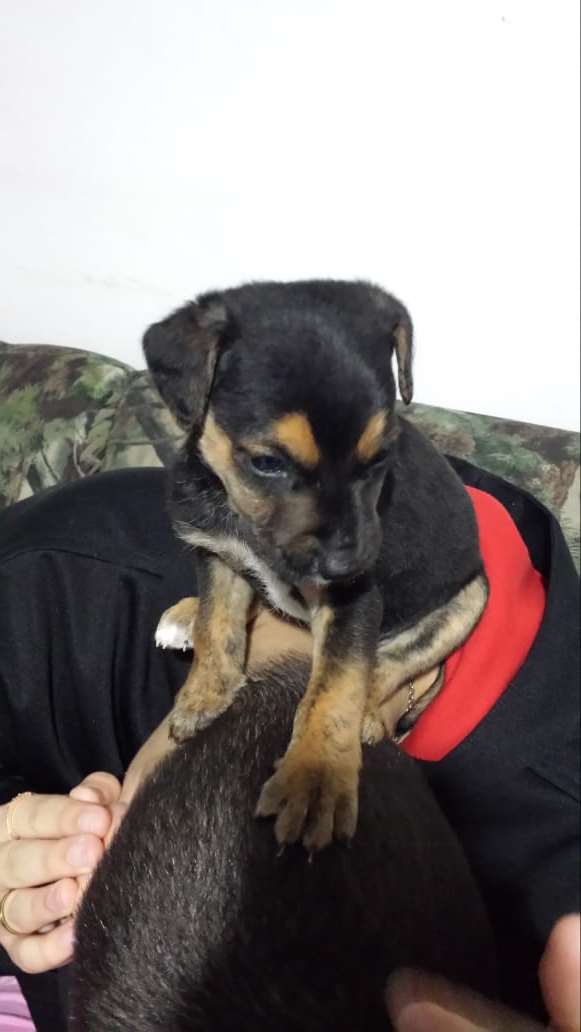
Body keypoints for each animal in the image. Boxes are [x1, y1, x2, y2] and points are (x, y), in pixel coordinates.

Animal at [143, 280, 488, 851]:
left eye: (380, 459)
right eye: (266, 463)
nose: (349, 563)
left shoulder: (355, 602)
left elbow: (336, 685)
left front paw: (315, 780)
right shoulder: (218, 554)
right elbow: (220, 626)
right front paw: (205, 694)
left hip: (470, 598)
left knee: (392, 664)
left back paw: (368, 715)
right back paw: (184, 614)